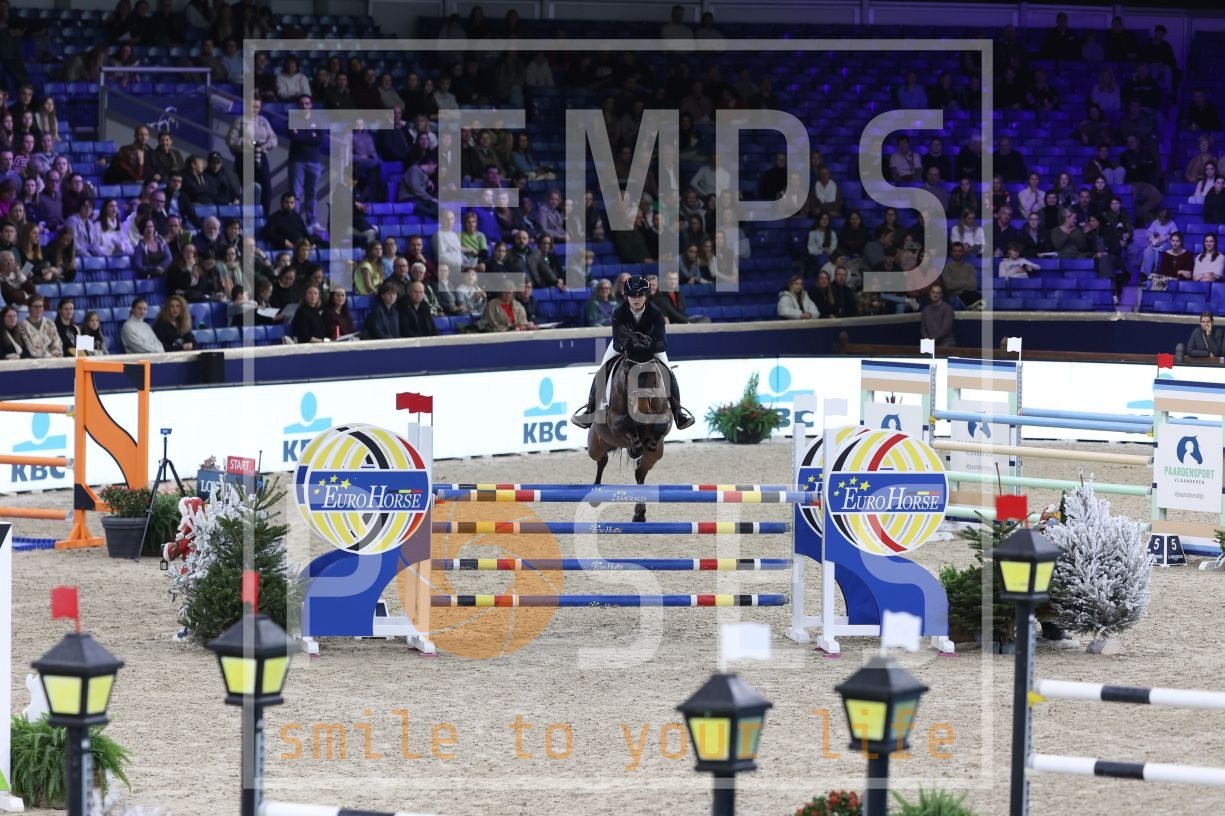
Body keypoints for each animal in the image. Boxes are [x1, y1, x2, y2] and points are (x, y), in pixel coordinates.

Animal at [587, 333, 674, 522]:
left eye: (652, 372)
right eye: (627, 369)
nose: (641, 409)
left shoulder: (666, 417)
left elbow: (661, 424)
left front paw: (645, 442)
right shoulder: (614, 422)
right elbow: (627, 424)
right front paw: (636, 444)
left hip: (656, 455)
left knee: (640, 472)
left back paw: (639, 512)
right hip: (596, 444)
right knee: (601, 460)